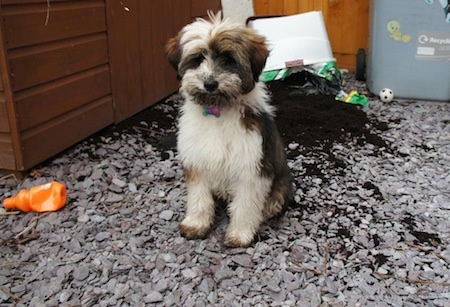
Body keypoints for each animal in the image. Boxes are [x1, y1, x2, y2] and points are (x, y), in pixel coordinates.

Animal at [165, 12, 292, 249]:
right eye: (198, 58)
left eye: (228, 59)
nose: (210, 84)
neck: (218, 110)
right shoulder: (197, 163)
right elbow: (199, 198)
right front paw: (196, 224)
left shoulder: (251, 168)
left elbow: (245, 206)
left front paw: (240, 234)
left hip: (280, 183)